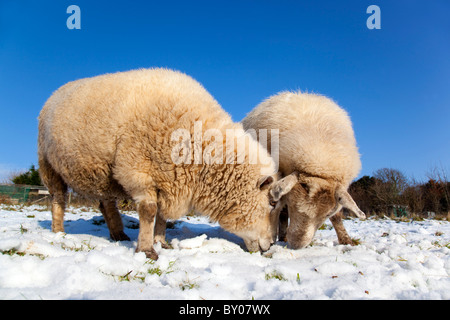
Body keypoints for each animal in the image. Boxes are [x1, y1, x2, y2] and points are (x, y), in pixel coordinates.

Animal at [38, 68, 284, 260]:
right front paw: (147, 250)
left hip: (102, 174)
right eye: (272, 204)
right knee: (58, 199)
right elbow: (149, 211)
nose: (271, 244)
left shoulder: (170, 180)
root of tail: (56, 92)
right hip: (49, 164)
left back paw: (118, 234)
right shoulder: (136, 170)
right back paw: (58, 231)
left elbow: (163, 216)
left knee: (106, 202)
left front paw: (161, 241)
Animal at [243, 91, 366, 249]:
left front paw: (346, 240)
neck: (320, 162)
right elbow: (282, 211)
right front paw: (283, 236)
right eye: (294, 206)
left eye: (326, 215)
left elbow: (337, 217)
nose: (297, 244)